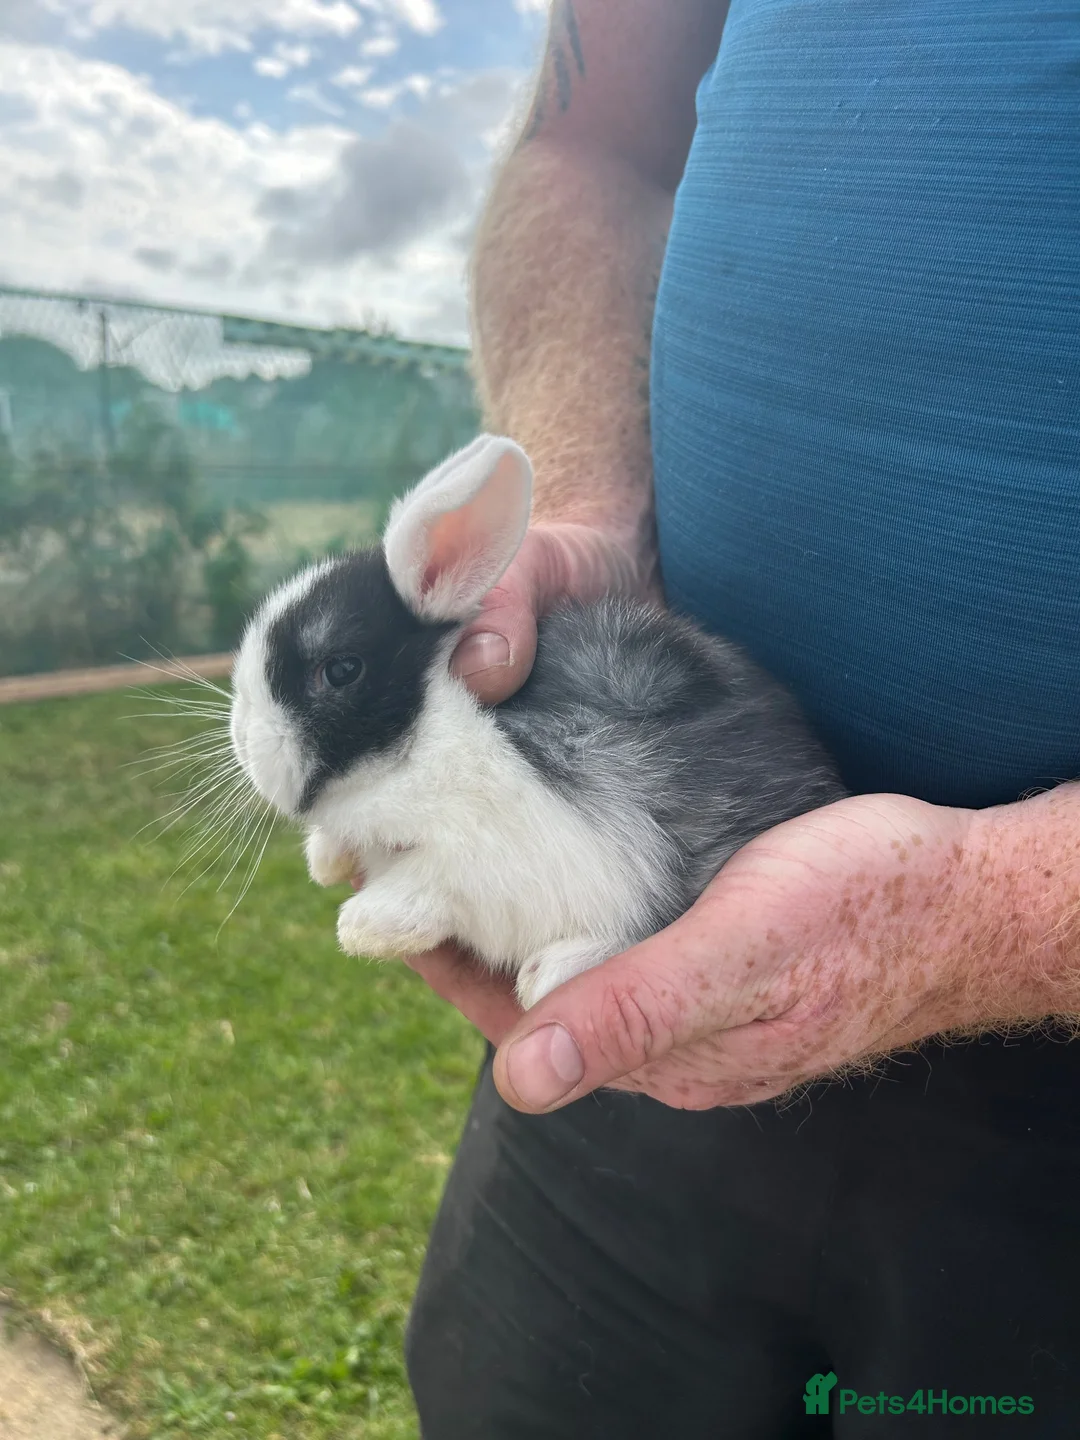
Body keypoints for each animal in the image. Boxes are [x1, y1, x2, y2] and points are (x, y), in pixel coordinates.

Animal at [229, 434, 847, 1009]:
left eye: (340, 670)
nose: (241, 738)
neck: (421, 744)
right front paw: (327, 861)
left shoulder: (509, 856)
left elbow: (432, 883)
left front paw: (361, 927)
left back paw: (547, 973)